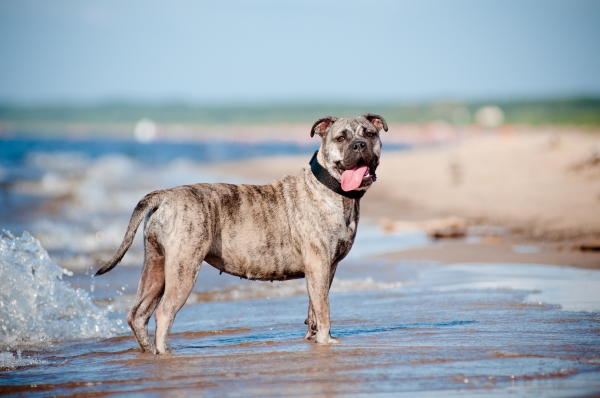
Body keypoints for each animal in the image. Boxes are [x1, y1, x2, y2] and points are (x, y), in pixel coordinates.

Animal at [96, 113, 390, 352]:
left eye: (369, 134)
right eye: (341, 138)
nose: (359, 145)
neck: (333, 190)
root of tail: (166, 195)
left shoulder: (325, 269)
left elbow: (314, 308)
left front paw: (314, 336)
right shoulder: (319, 266)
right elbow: (324, 309)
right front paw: (326, 340)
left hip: (156, 266)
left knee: (138, 314)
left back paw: (148, 352)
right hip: (183, 268)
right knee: (164, 313)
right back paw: (164, 352)